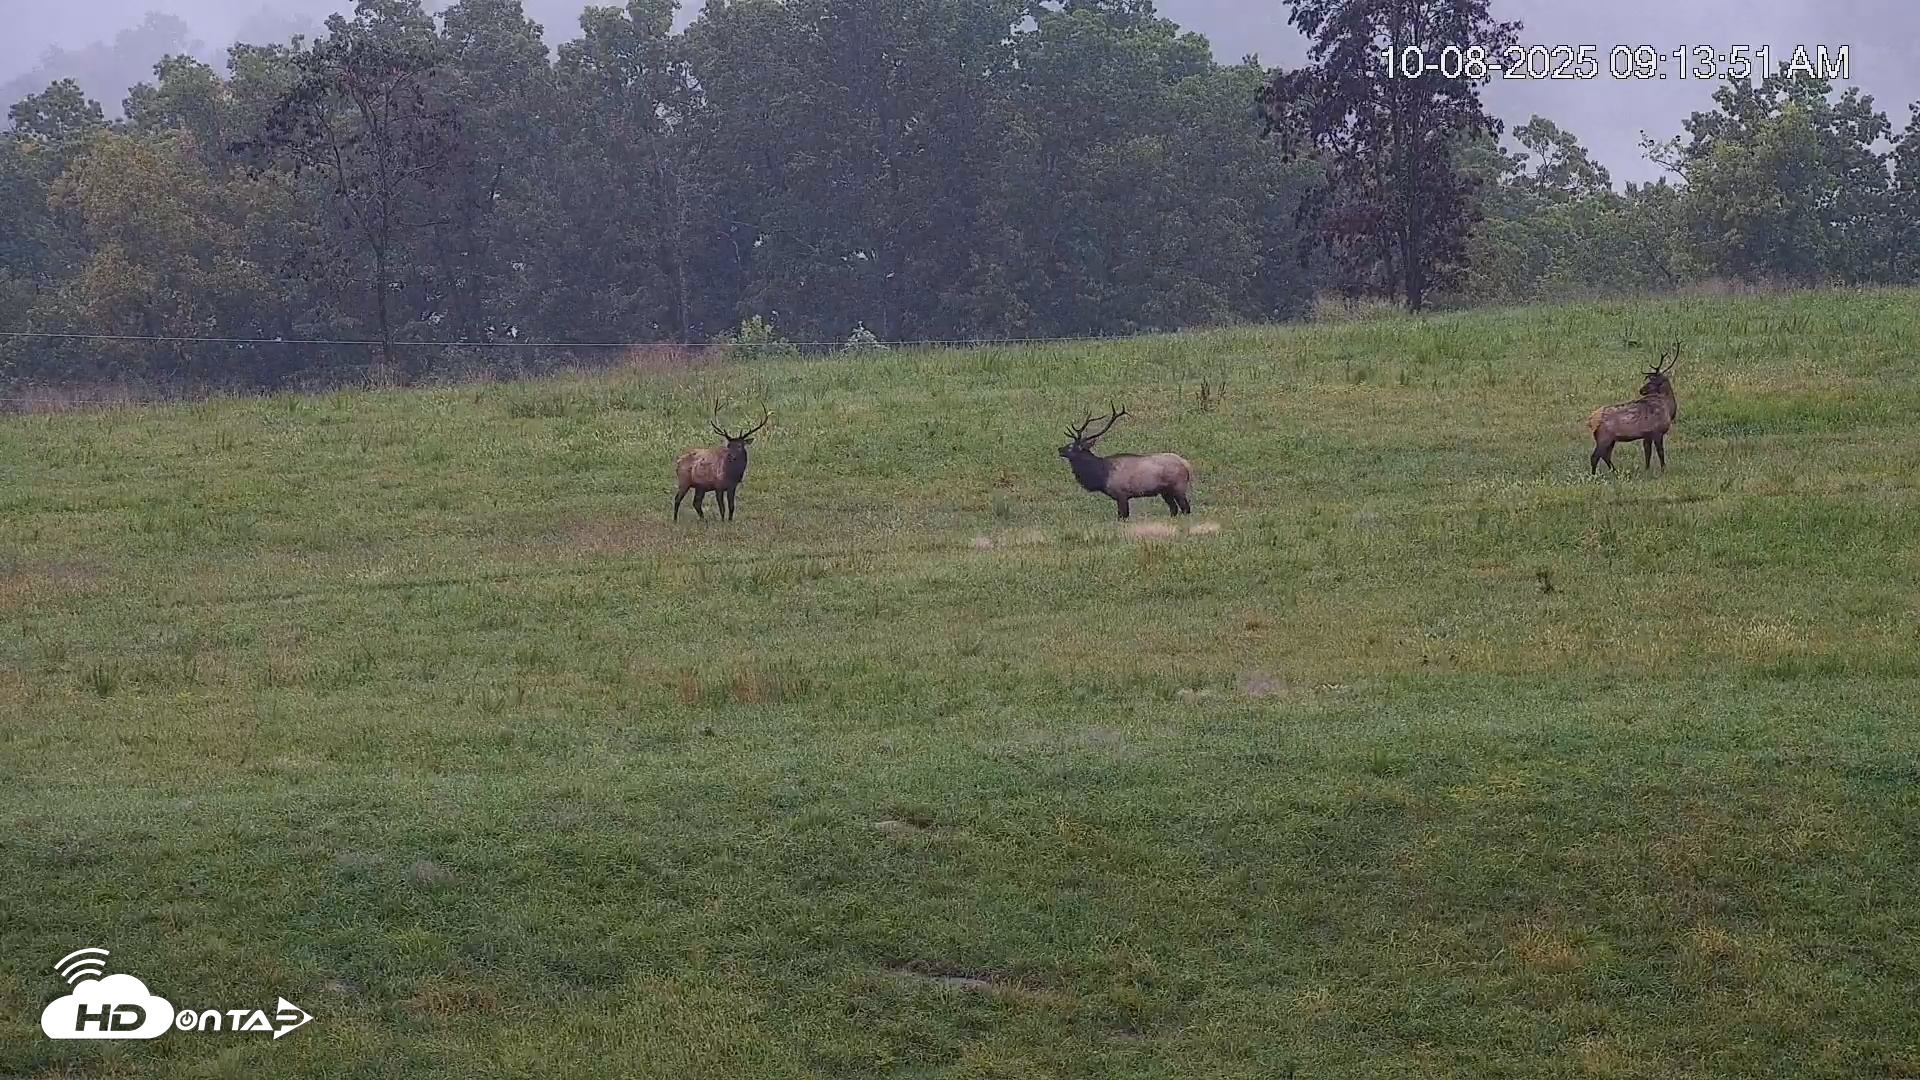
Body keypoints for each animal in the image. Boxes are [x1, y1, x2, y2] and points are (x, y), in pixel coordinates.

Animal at [1057, 405, 1194, 519]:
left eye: (1071, 446)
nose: (1059, 449)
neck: (1102, 475)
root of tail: (1186, 464)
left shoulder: (1121, 495)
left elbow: (1122, 517)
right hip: (1165, 492)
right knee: (1174, 509)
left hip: (1178, 487)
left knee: (1186, 508)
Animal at [1586, 346, 1678, 475]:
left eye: (1653, 381)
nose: (1641, 390)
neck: (1669, 409)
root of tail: (1591, 420)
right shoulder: (1657, 431)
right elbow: (1660, 452)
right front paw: (1663, 469)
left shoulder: (1647, 434)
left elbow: (1647, 452)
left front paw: (1647, 469)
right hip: (1604, 437)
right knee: (1595, 456)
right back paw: (1595, 475)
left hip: (1610, 439)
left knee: (1605, 455)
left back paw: (1615, 471)